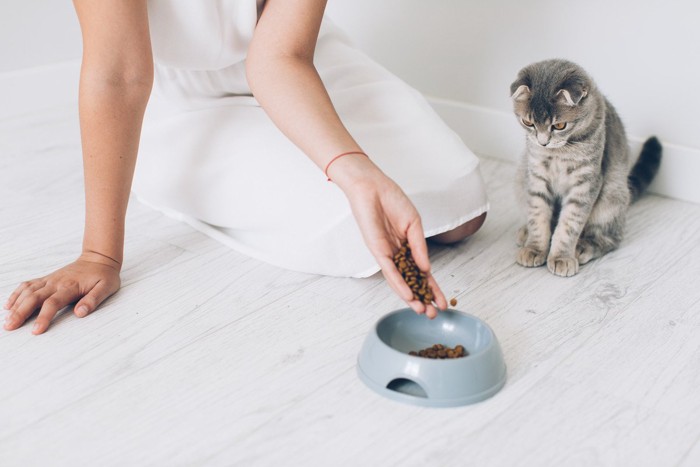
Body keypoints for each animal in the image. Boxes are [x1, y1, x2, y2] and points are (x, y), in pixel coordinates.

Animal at [508, 58, 660, 278]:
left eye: (559, 125)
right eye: (528, 122)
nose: (543, 142)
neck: (558, 153)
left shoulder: (586, 182)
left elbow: (569, 224)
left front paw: (562, 257)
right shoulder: (536, 176)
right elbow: (538, 215)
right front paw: (535, 248)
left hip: (612, 195)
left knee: (611, 238)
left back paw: (583, 247)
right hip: (521, 176)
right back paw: (525, 232)